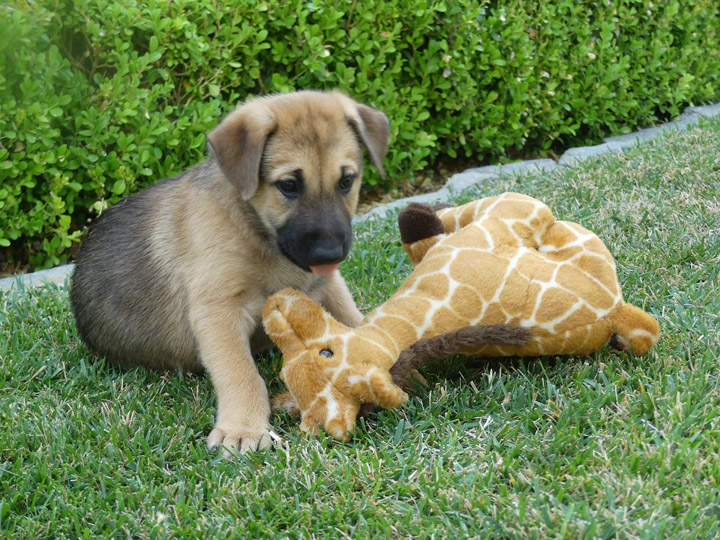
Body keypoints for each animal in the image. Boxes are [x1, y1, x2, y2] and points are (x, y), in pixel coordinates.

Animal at [70, 90, 390, 454]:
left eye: (347, 181)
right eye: (289, 185)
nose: (330, 254)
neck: (259, 235)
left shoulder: (326, 284)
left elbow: (356, 322)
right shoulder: (218, 308)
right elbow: (241, 372)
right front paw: (242, 429)